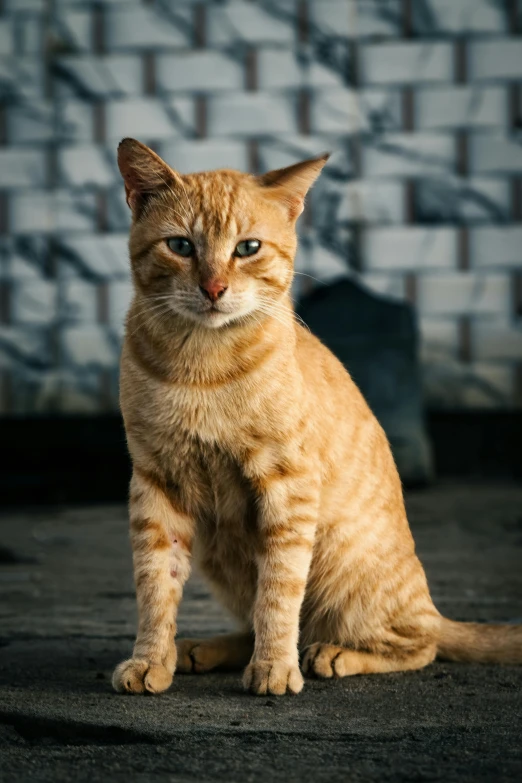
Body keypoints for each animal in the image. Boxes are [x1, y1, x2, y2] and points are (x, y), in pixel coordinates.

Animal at [111, 141, 516, 700]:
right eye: (181, 246)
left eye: (247, 248)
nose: (214, 288)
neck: (200, 368)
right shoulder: (155, 482)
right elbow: (156, 586)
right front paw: (152, 659)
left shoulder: (288, 485)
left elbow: (280, 592)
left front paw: (275, 669)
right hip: (219, 550)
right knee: (255, 620)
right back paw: (201, 649)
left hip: (343, 569)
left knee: (418, 643)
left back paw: (332, 654)